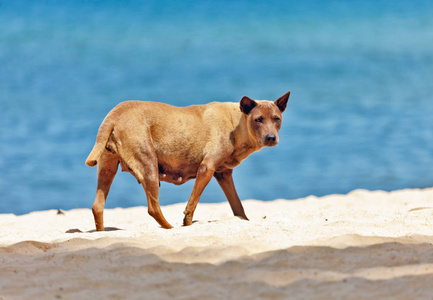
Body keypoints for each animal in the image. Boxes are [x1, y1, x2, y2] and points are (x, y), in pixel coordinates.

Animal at [85, 91, 288, 230]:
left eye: (276, 119)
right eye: (258, 119)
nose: (271, 138)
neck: (236, 124)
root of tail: (115, 113)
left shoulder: (224, 174)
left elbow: (238, 207)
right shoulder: (207, 168)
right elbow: (191, 206)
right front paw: (186, 224)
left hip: (107, 168)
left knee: (97, 207)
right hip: (149, 165)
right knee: (153, 208)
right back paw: (169, 228)